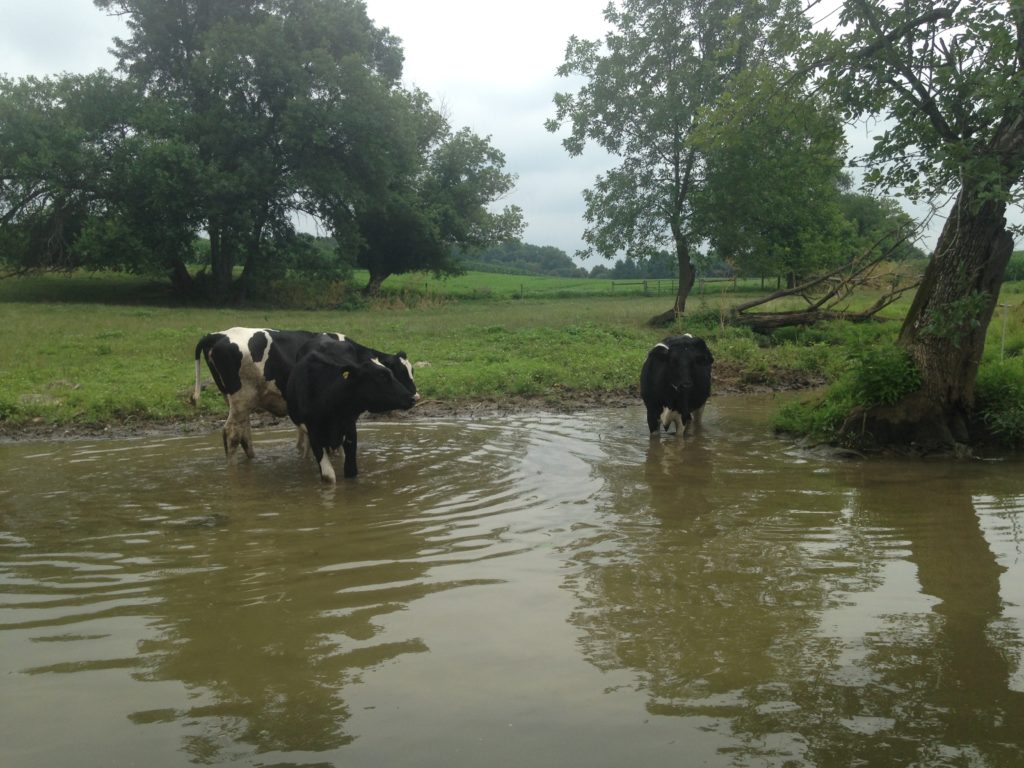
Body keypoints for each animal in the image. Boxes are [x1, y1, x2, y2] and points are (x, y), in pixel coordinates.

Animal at [191, 327, 416, 459]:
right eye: (399, 371)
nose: (415, 397)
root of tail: (216, 335)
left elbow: (304, 439)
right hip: (241, 398)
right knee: (232, 434)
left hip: (239, 402)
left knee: (243, 433)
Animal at [286, 336, 418, 482]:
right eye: (382, 377)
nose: (413, 397)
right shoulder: (314, 434)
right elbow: (328, 476)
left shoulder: (349, 429)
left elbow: (351, 471)